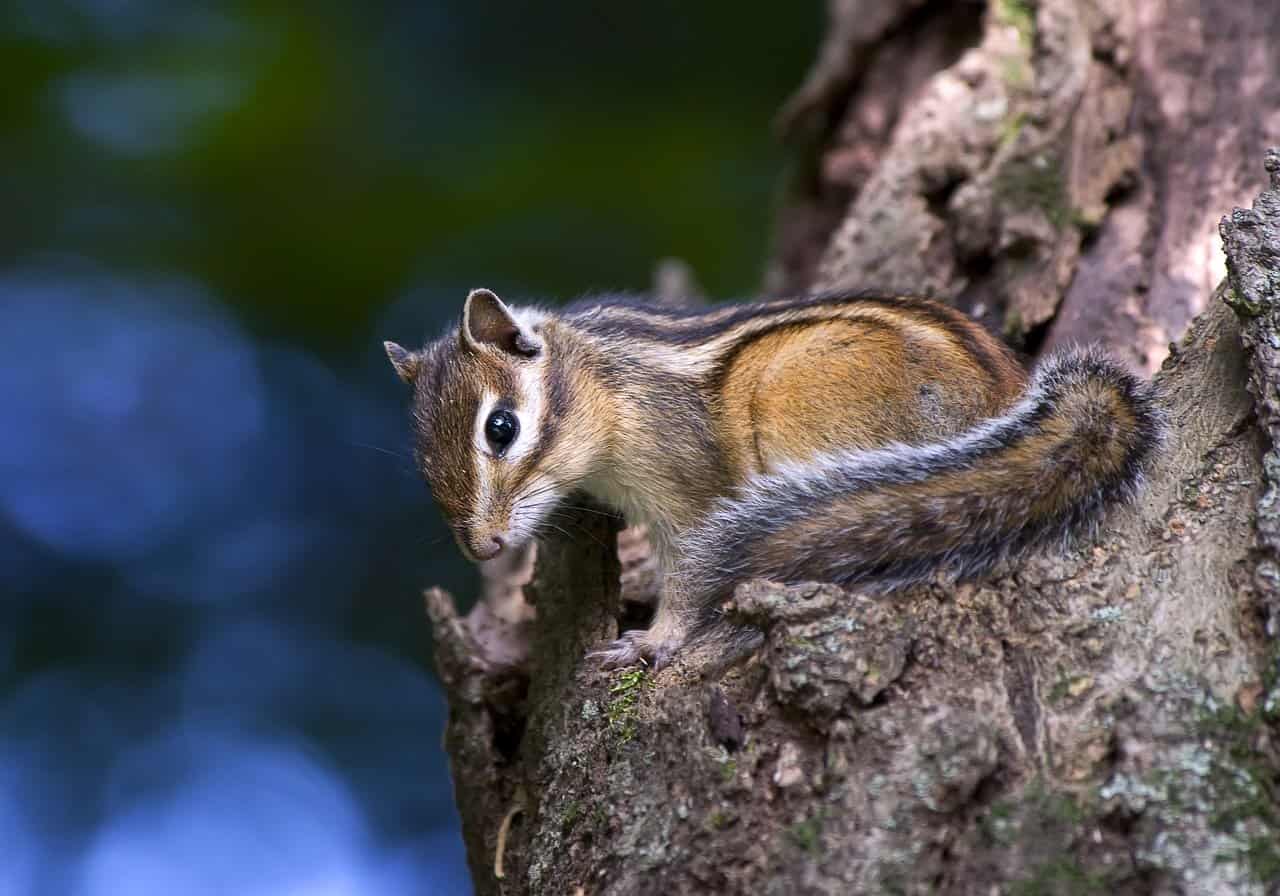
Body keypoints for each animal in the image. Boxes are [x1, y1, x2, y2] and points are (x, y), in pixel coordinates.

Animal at [384, 290, 1167, 670]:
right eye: (419, 458)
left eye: (501, 428)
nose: (483, 548)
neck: (606, 382)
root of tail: (1014, 407)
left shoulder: (688, 495)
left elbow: (689, 575)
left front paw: (653, 642)